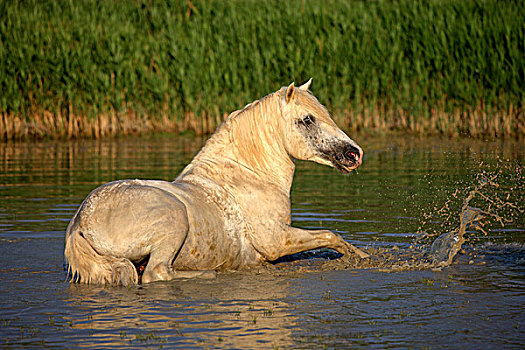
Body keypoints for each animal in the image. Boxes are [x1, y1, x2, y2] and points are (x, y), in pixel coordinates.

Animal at [65, 80, 366, 286]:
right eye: (307, 119)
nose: (355, 154)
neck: (249, 176)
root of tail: (80, 222)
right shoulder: (277, 241)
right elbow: (331, 236)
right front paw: (362, 257)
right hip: (174, 218)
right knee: (156, 273)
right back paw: (210, 273)